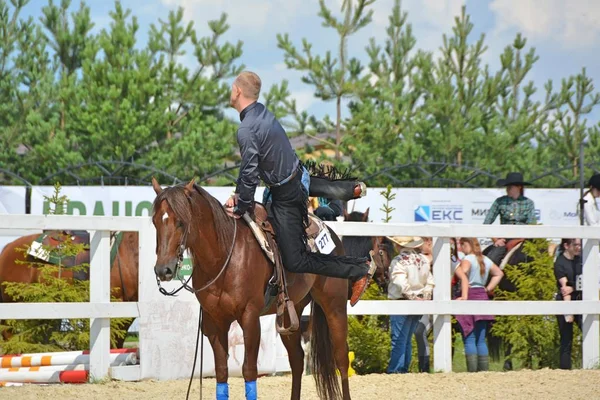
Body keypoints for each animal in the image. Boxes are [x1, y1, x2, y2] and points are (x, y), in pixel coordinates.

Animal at [152, 179, 358, 400]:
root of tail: (331, 233)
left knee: (341, 358)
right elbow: (222, 372)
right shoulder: (215, 322)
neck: (225, 257)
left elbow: (249, 370)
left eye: (181, 222)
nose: (163, 270)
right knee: (297, 360)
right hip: (290, 315)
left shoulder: (249, 317)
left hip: (334, 306)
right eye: (155, 221)